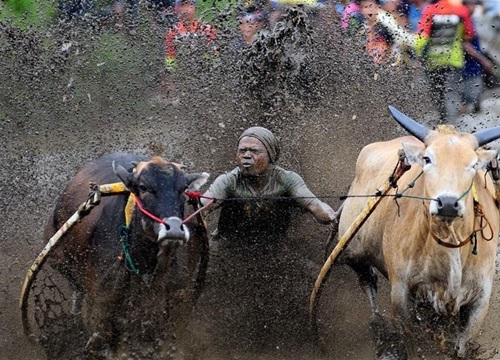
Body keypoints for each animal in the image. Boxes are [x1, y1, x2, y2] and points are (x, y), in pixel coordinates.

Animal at [46, 152, 209, 358]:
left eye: (182, 189)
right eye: (144, 187)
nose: (173, 229)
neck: (145, 264)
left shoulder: (176, 303)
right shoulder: (99, 308)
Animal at [338, 105, 500, 358]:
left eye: (473, 164)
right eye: (428, 158)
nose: (447, 203)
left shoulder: (479, 300)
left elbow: (460, 346)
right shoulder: (401, 293)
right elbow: (412, 341)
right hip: (354, 252)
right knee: (368, 282)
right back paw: (379, 331)